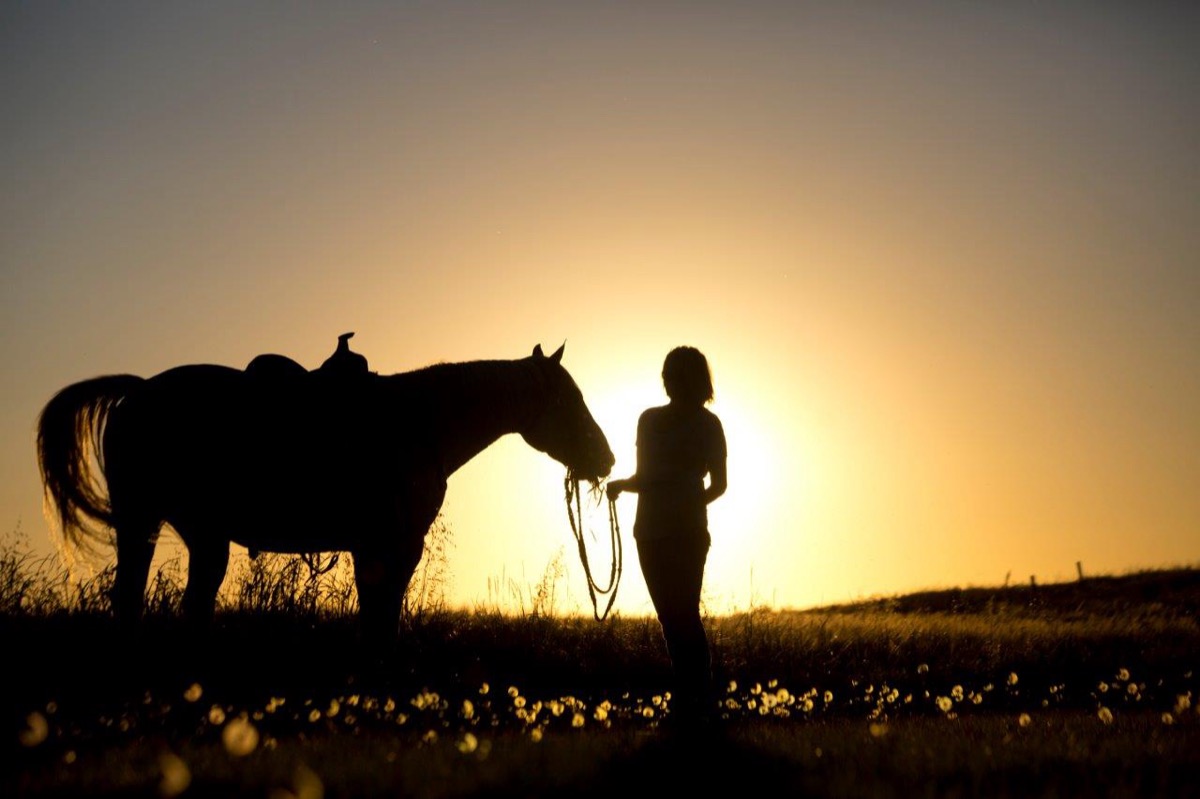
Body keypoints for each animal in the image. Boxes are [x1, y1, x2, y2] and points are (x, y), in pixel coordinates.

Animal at [36, 342, 614, 643]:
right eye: (568, 399)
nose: (606, 460)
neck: (418, 424)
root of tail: (135, 393)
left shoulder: (376, 547)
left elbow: (377, 613)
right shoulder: (393, 546)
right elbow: (382, 616)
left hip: (180, 532)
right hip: (159, 525)